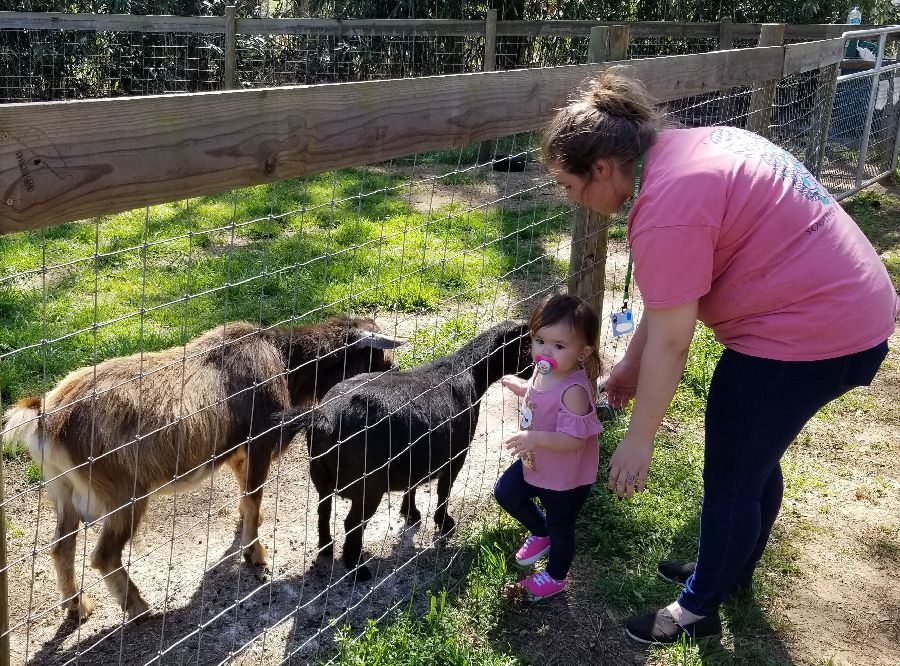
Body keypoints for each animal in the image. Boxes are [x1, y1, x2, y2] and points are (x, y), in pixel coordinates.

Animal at [0, 316, 400, 616]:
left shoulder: (238, 451)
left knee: (61, 546)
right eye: (380, 359)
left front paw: (243, 537)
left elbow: (247, 498)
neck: (284, 360)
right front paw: (256, 555)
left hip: (62, 491)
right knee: (104, 555)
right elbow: (254, 496)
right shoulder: (260, 442)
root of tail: (48, 419)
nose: (394, 373)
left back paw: (77, 606)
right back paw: (140, 608)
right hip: (122, 494)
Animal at [282, 320, 532, 580]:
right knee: (352, 524)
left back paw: (326, 548)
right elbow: (444, 491)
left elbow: (412, 485)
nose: (535, 370)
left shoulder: (416, 456)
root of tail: (324, 417)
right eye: (529, 344)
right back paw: (358, 569)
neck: (468, 373)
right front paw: (444, 523)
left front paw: (411, 513)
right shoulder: (455, 456)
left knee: (323, 510)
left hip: (321, 476)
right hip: (368, 486)